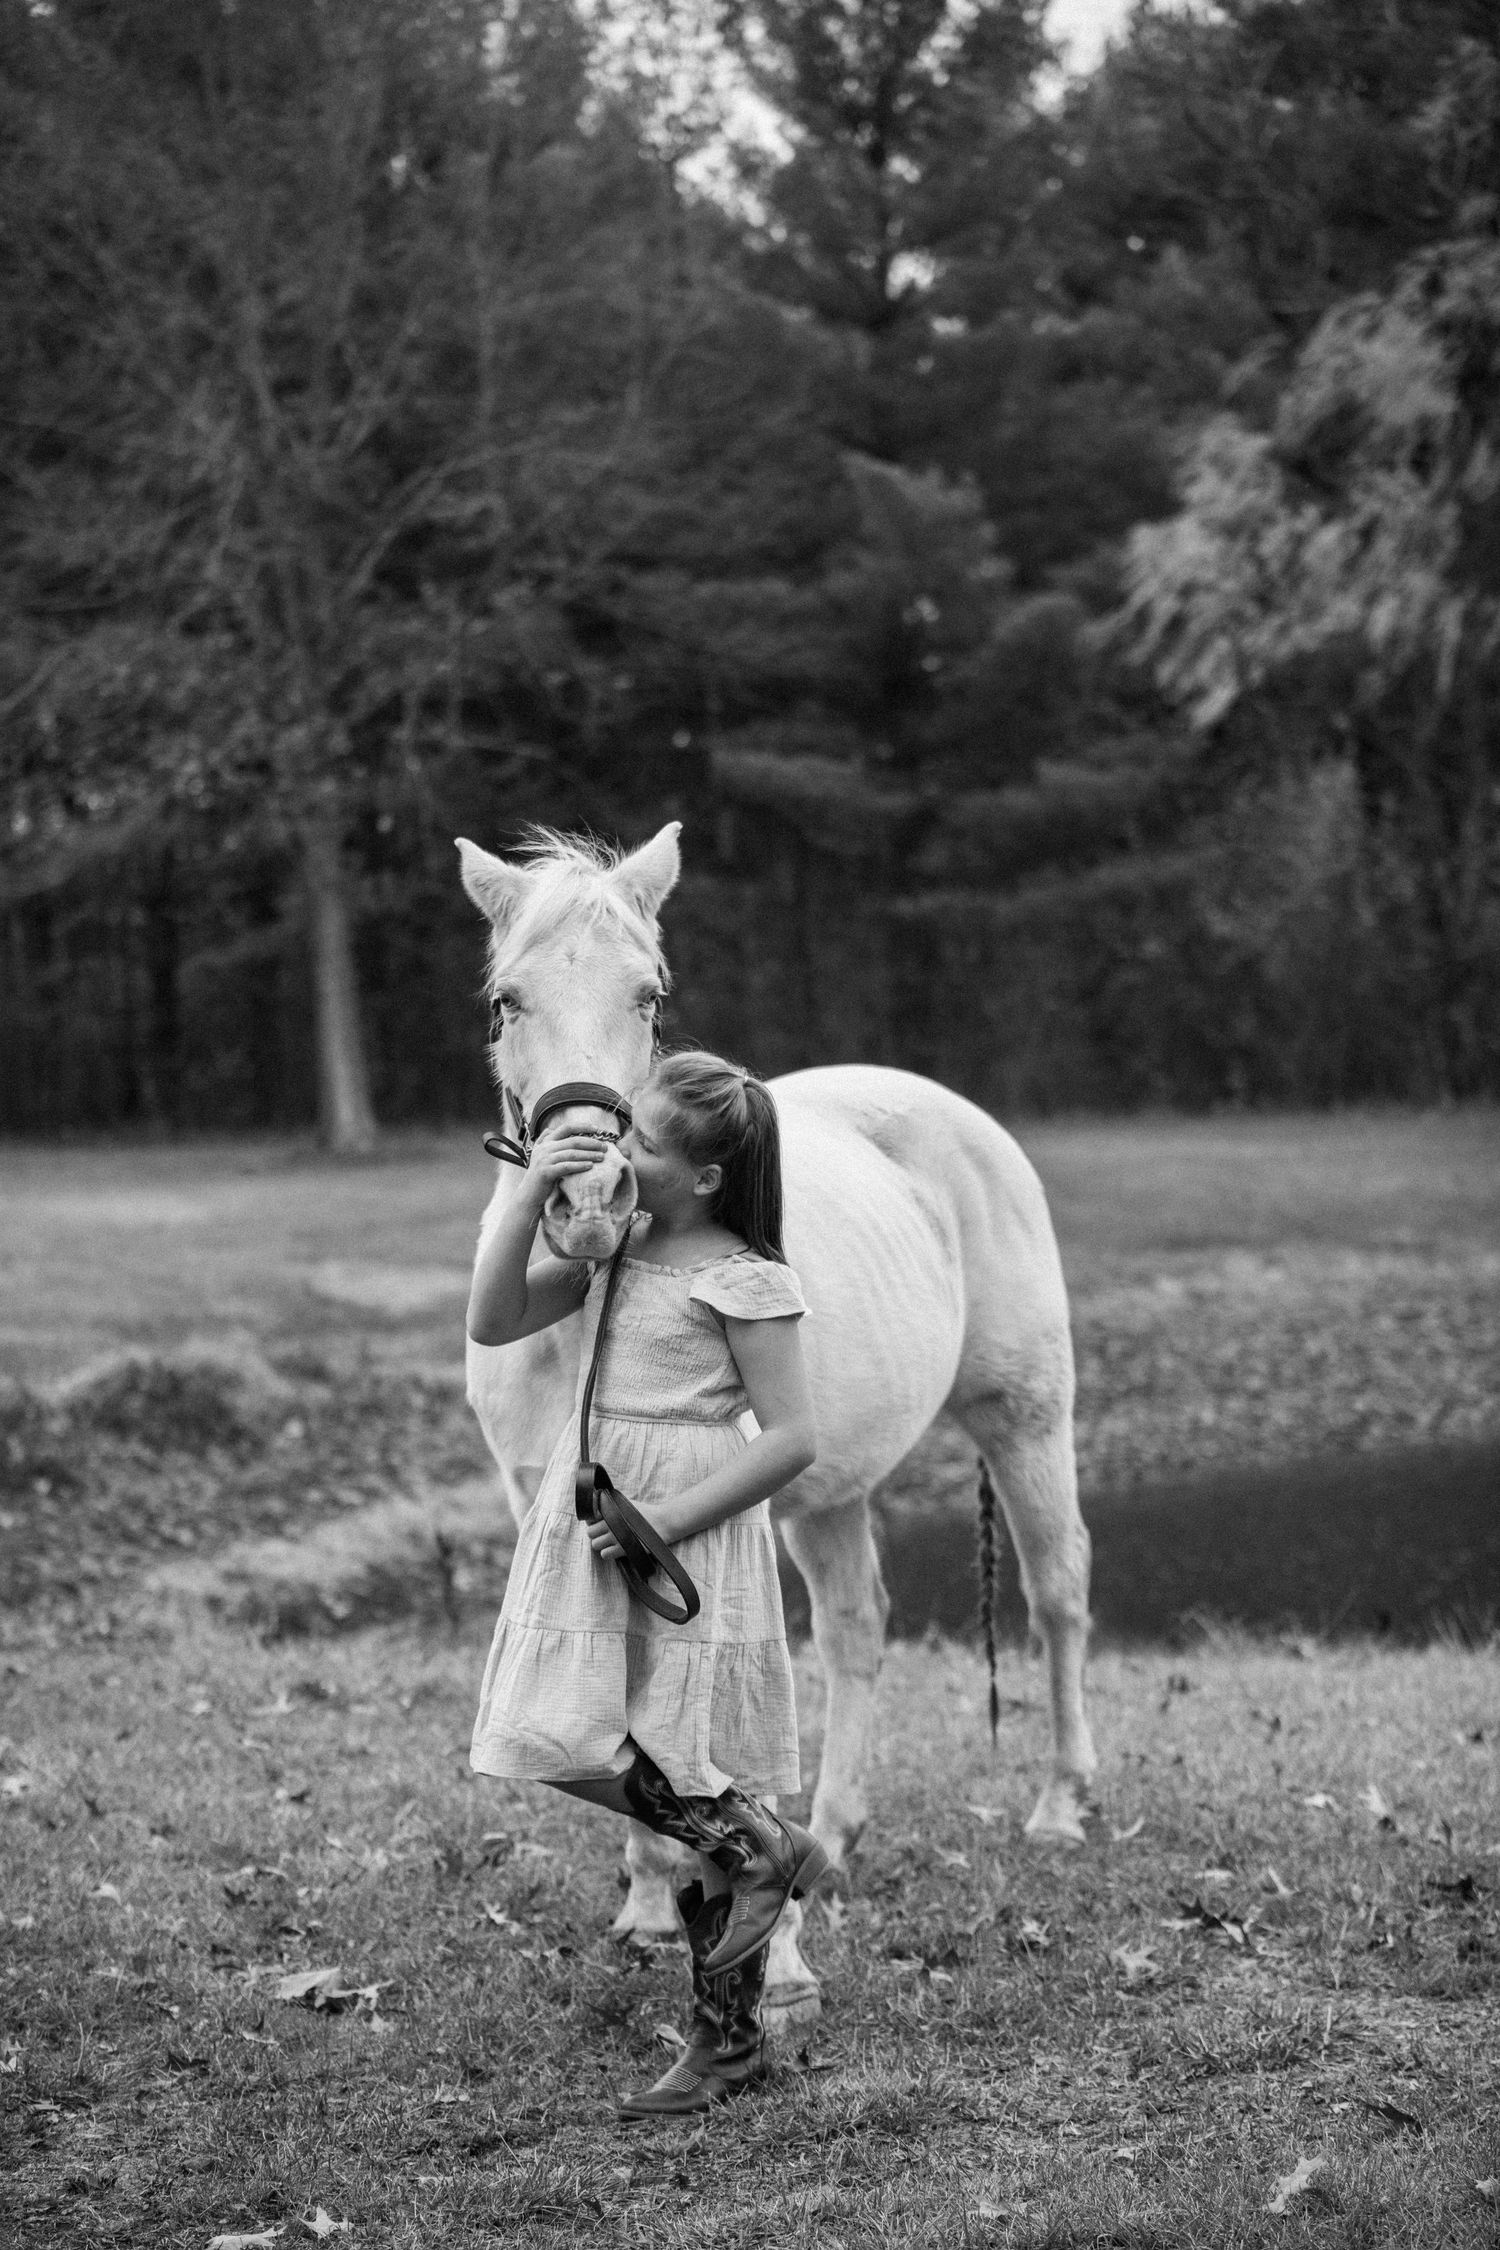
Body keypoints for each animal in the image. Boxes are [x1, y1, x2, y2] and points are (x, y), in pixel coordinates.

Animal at [458, 822, 1095, 2029]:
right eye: (509, 1000)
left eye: (651, 997)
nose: (588, 1204)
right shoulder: (556, 1507)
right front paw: (653, 1903)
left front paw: (771, 1946)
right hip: (830, 1494)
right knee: (856, 1627)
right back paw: (830, 1841)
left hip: (1025, 1419)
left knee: (1057, 1590)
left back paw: (1059, 1805)